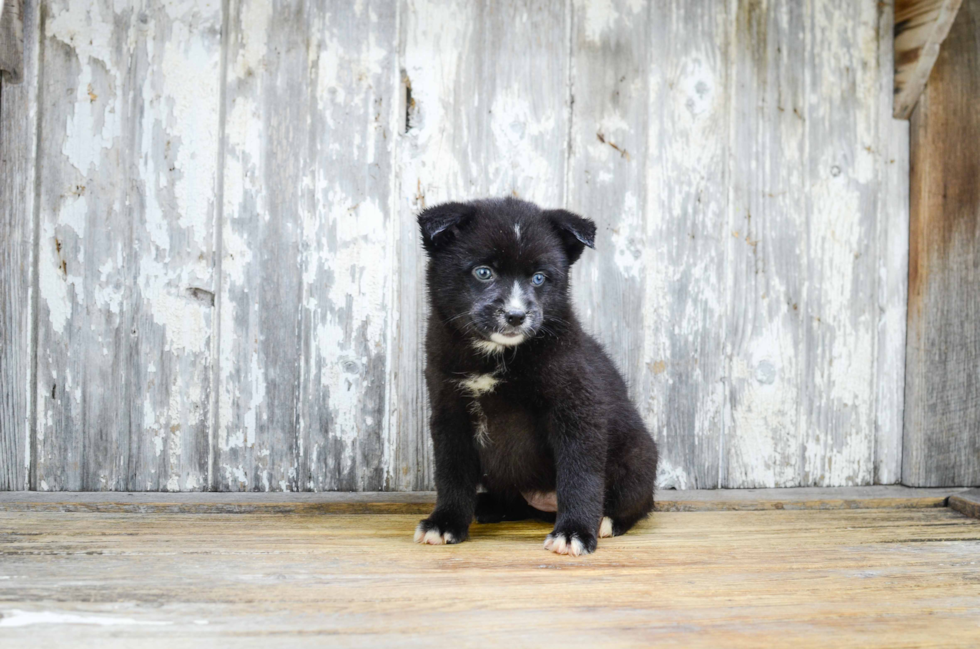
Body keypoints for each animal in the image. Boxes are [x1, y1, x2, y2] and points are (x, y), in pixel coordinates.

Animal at [414, 195, 660, 556]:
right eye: (483, 272)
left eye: (540, 278)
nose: (516, 316)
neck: (497, 354)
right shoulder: (449, 410)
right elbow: (452, 473)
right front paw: (445, 522)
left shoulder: (576, 408)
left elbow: (579, 475)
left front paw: (574, 532)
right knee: (513, 501)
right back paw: (486, 505)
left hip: (639, 455)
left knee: (637, 503)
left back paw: (605, 521)